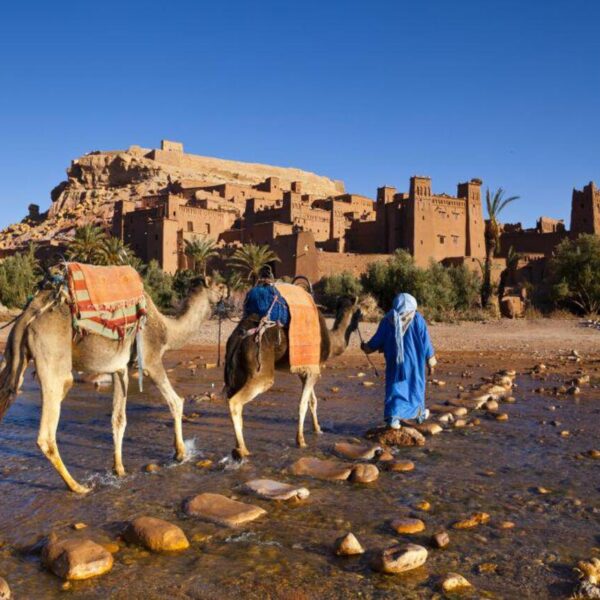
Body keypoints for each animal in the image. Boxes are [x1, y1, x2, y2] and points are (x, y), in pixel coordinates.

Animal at [0, 276, 224, 492]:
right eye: (220, 286)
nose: (228, 292)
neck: (167, 330)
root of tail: (28, 316)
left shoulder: (120, 368)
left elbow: (118, 419)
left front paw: (119, 469)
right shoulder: (150, 358)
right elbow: (176, 402)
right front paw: (180, 453)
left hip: (14, 357)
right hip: (53, 360)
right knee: (46, 435)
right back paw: (78, 487)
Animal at [223, 292, 358, 458]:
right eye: (359, 310)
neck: (331, 342)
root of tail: (238, 337)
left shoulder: (307, 371)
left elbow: (312, 401)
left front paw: (318, 429)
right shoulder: (313, 370)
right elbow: (302, 404)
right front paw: (301, 441)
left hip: (238, 372)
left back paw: (237, 447)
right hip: (261, 370)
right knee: (235, 402)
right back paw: (244, 449)